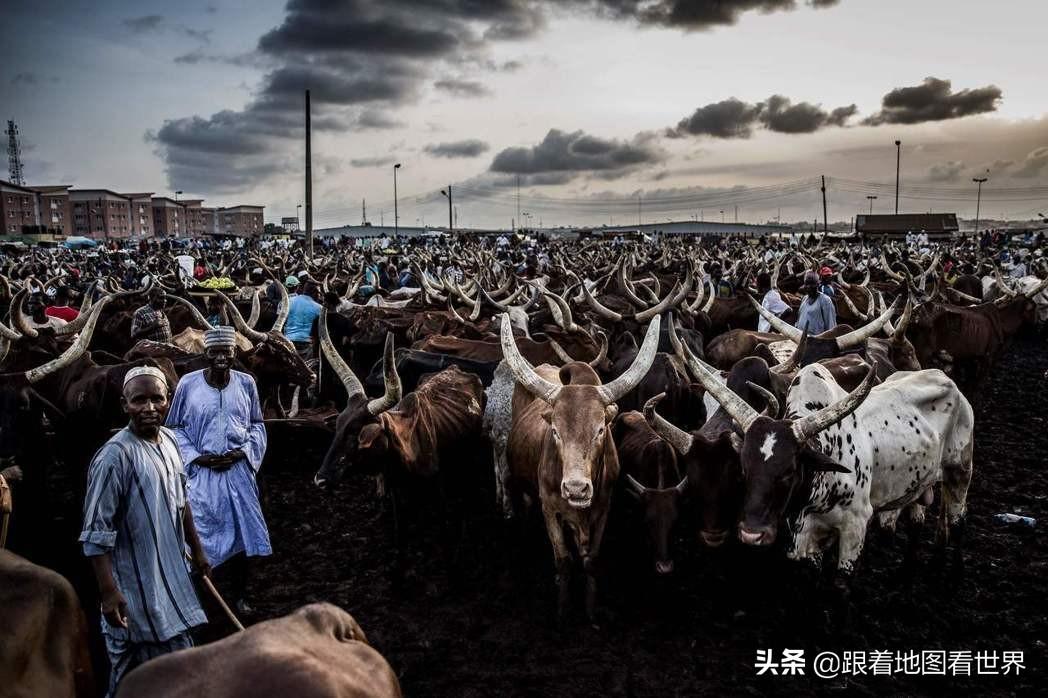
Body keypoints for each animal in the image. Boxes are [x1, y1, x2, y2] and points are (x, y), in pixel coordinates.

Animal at [503, 312, 658, 616]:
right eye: (555, 431)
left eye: (600, 430)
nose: (576, 489)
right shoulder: (550, 509)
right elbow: (563, 560)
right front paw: (564, 610)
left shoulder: (603, 508)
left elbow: (591, 561)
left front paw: (589, 610)